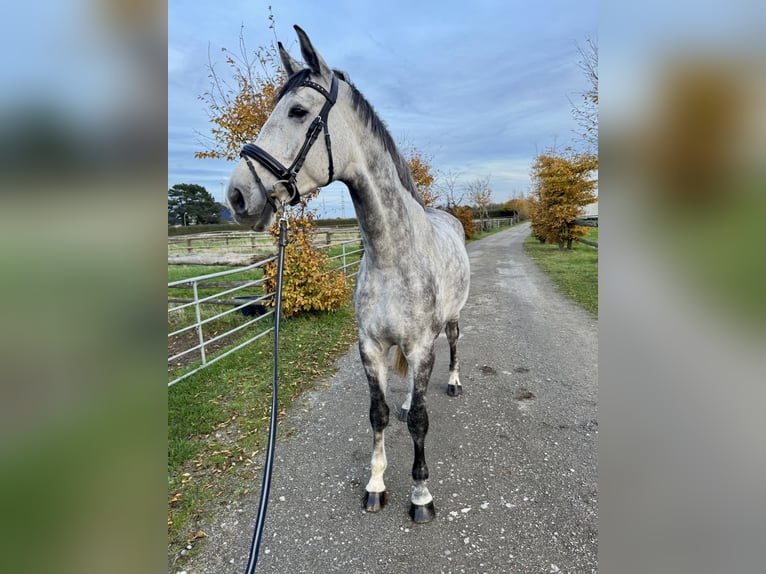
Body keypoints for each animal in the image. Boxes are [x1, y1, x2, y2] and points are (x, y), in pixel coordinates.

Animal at [226, 25, 470, 523]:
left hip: (451, 321)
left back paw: (454, 384)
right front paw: (376, 485)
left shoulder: (421, 345)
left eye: (298, 111)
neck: (393, 253)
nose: (238, 196)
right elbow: (378, 414)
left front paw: (421, 496)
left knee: (453, 347)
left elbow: (421, 421)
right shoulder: (371, 347)